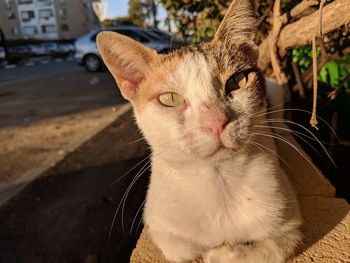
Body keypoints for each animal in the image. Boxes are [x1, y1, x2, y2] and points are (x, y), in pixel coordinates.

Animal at [95, 1, 300, 262]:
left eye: (238, 81)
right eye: (169, 99)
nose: (217, 121)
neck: (218, 178)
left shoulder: (289, 222)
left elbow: (270, 249)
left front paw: (224, 252)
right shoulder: (157, 222)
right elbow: (180, 249)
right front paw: (208, 250)